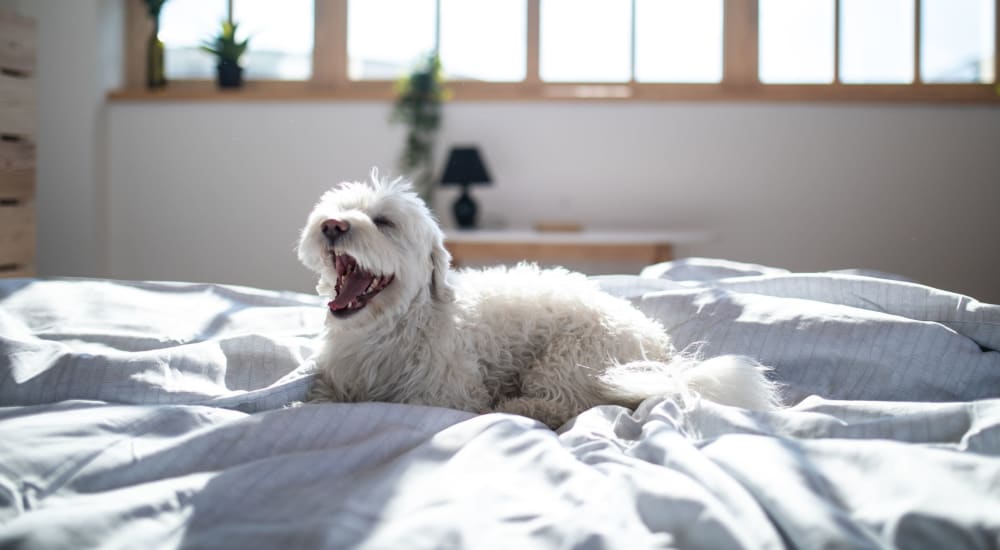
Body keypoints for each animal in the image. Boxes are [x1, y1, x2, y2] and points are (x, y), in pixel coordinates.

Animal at [296, 175, 780, 430]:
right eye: (338, 209)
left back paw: (515, 407)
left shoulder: (445, 394)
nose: (333, 225)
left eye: (384, 222)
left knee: (568, 405)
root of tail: (663, 353)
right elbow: (320, 398)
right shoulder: (336, 381)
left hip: (569, 358)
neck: (392, 326)